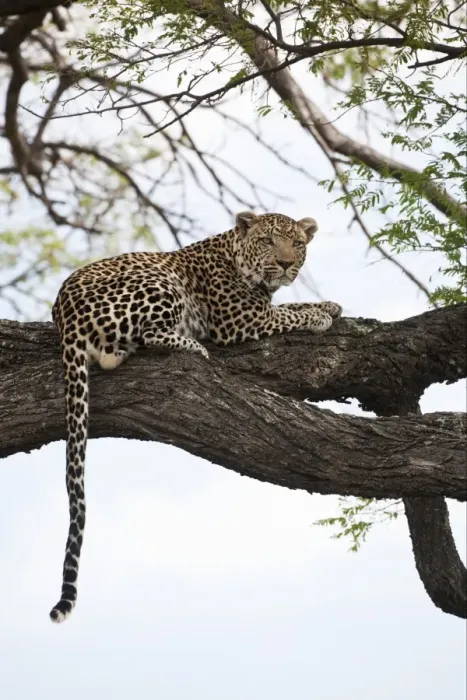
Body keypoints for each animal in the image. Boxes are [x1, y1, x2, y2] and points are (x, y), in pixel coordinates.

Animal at [49, 210, 342, 623]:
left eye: (297, 244)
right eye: (268, 241)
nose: (286, 264)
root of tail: (65, 315)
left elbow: (292, 305)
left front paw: (329, 305)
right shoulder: (241, 319)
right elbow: (287, 312)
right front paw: (319, 315)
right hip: (160, 283)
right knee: (151, 335)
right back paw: (193, 347)